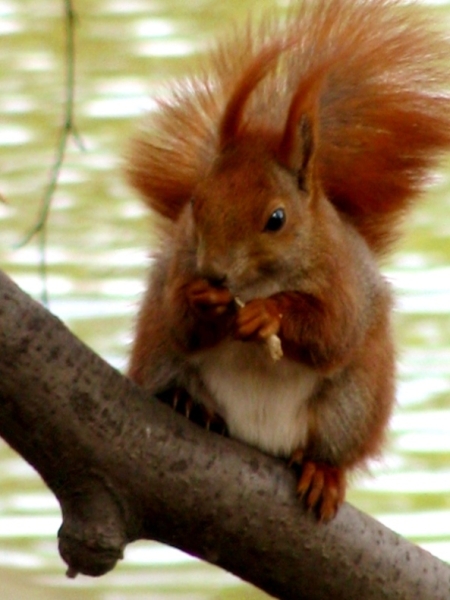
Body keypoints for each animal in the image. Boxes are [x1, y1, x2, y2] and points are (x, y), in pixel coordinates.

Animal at [125, 0, 450, 520]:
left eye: (276, 218)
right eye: (196, 201)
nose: (214, 272)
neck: (258, 281)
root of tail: (261, 436)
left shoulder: (344, 283)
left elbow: (330, 330)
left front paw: (267, 315)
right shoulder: (176, 271)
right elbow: (180, 320)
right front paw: (201, 301)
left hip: (353, 403)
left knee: (333, 443)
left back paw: (322, 472)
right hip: (157, 355)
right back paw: (187, 403)